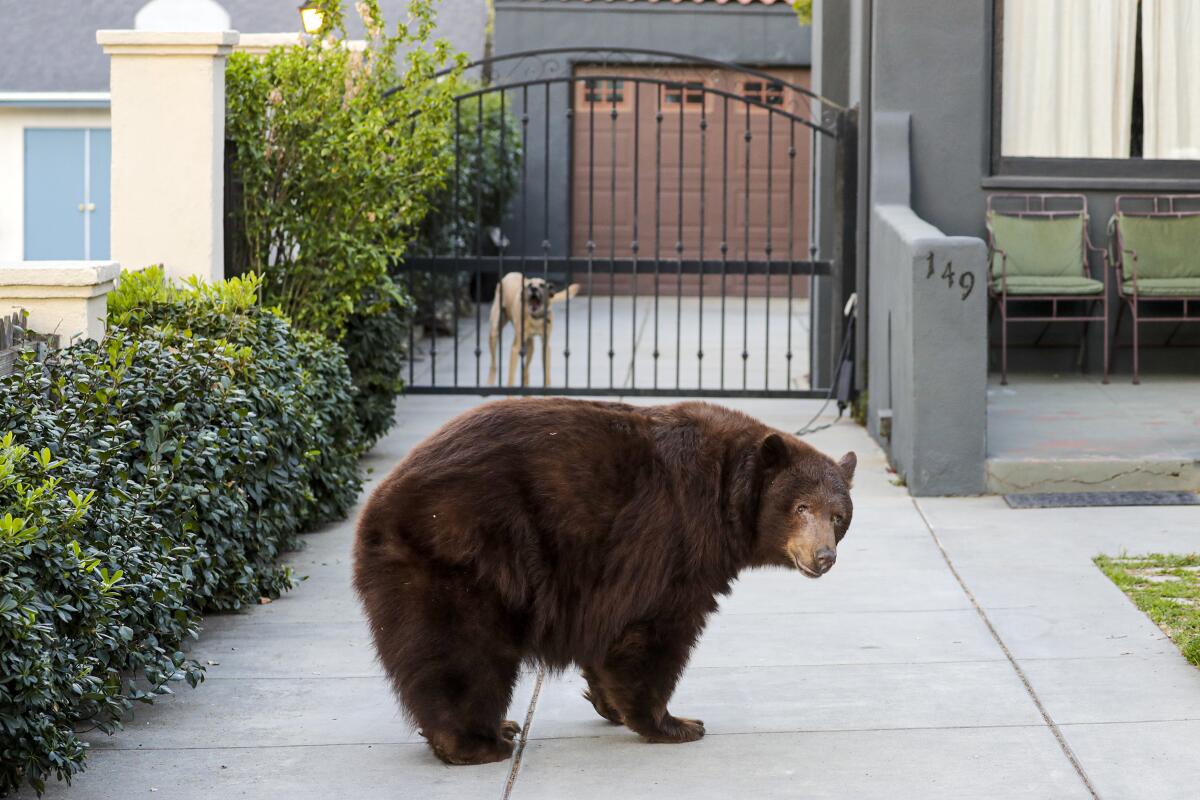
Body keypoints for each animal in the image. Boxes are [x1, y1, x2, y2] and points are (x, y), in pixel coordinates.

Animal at [350, 398, 859, 767]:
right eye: (801, 508)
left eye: (838, 515)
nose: (824, 557)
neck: (725, 493)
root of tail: (377, 505)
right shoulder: (674, 536)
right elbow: (655, 628)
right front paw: (674, 723)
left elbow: (610, 634)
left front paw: (608, 702)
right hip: (465, 556)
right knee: (462, 651)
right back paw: (478, 742)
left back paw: (499, 728)